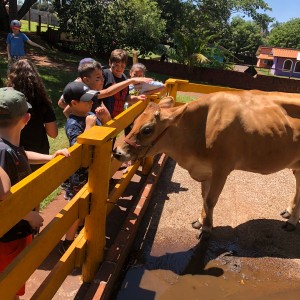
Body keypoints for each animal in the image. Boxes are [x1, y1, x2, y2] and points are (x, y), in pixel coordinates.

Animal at [112, 91, 300, 237]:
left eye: (147, 129)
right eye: (135, 122)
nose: (117, 152)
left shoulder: (221, 169)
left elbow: (210, 200)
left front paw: (207, 228)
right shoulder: (205, 169)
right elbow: (204, 197)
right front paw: (201, 221)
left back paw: (292, 221)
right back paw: (290, 213)